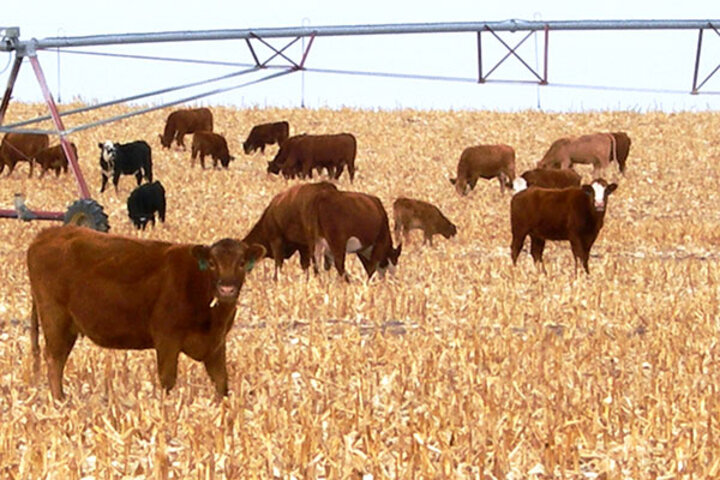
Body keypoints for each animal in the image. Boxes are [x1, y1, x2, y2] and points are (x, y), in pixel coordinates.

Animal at [28, 226, 266, 402]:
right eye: (212, 264)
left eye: (242, 263)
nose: (226, 289)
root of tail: (49, 232)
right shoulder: (166, 337)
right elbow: (168, 380)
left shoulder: (216, 344)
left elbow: (222, 383)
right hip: (55, 319)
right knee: (55, 359)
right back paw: (59, 400)